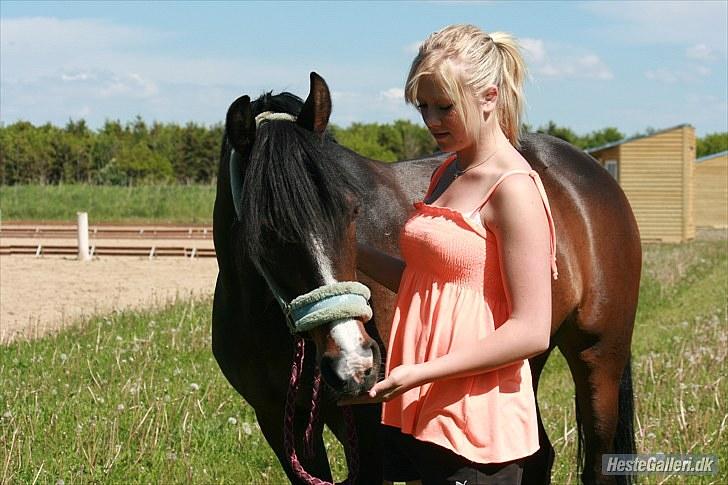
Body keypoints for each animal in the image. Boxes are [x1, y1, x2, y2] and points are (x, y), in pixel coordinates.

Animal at [212, 72, 641, 485]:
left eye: (351, 210)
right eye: (264, 232)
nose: (355, 364)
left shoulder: (368, 434)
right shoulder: (277, 422)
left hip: (599, 357)